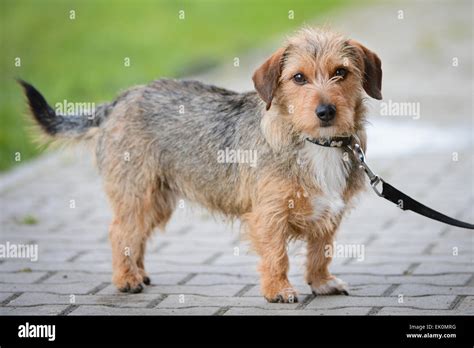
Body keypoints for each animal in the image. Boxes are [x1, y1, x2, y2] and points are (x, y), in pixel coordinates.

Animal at [19, 28, 382, 304]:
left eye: (341, 72)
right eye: (298, 78)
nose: (325, 112)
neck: (315, 144)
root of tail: (118, 101)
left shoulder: (329, 213)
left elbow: (321, 251)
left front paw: (321, 282)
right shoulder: (269, 215)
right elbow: (277, 256)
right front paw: (278, 290)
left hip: (157, 200)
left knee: (135, 236)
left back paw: (138, 272)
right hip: (136, 193)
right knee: (119, 231)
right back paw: (126, 279)